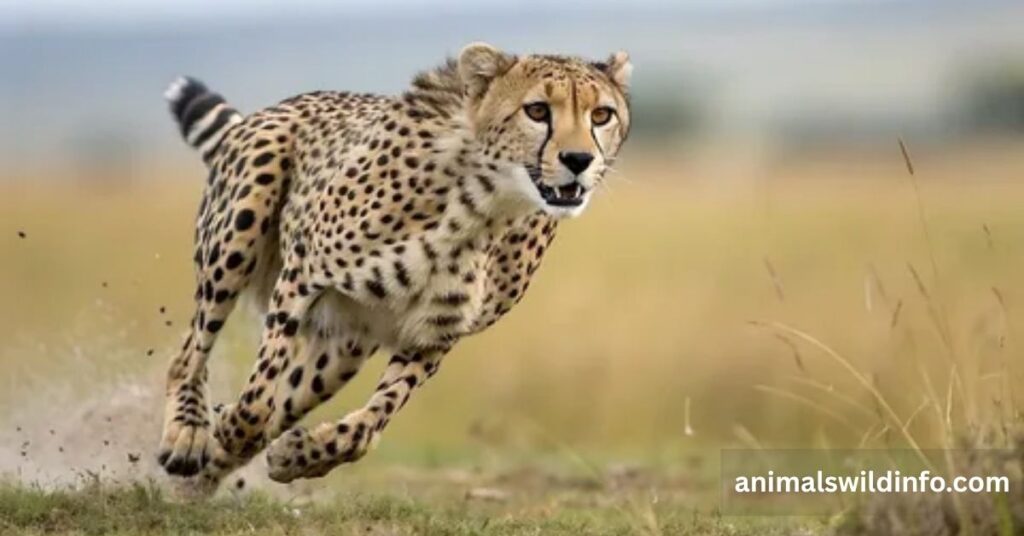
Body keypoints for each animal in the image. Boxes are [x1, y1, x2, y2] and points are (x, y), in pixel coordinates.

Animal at [157, 42, 633, 491]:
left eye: (601, 115)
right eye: (537, 110)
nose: (579, 160)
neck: (482, 206)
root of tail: (280, 106)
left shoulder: (435, 333)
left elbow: (368, 425)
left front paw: (298, 455)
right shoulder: (302, 273)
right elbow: (257, 397)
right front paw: (230, 427)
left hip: (341, 351)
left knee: (287, 396)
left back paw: (200, 480)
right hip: (239, 231)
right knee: (189, 352)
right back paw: (187, 435)